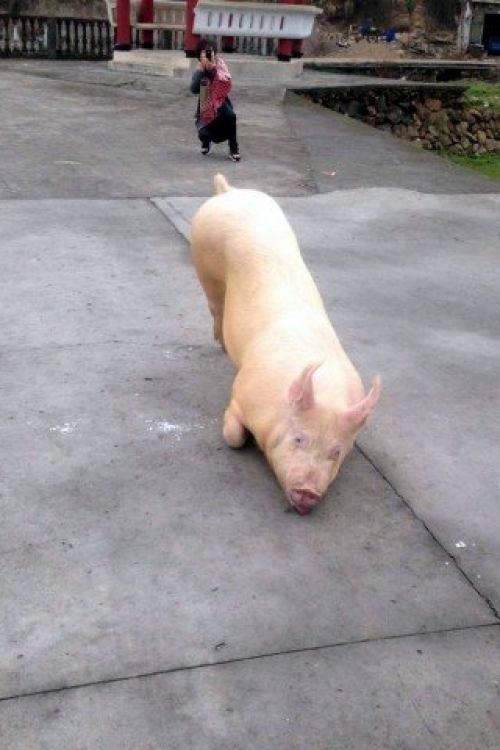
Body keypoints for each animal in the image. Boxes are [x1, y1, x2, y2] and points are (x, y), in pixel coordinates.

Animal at [190, 174, 381, 514]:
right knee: (215, 307)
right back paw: (220, 345)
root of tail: (228, 192)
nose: (307, 493)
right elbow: (233, 435)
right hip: (203, 263)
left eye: (336, 451)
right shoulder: (241, 394)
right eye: (299, 439)